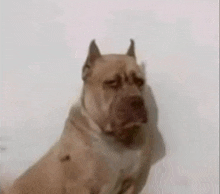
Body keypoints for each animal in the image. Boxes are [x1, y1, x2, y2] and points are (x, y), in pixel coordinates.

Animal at [4, 39, 153, 194]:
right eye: (112, 83)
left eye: (140, 82)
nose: (137, 101)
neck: (115, 138)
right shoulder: (80, 186)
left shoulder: (130, 184)